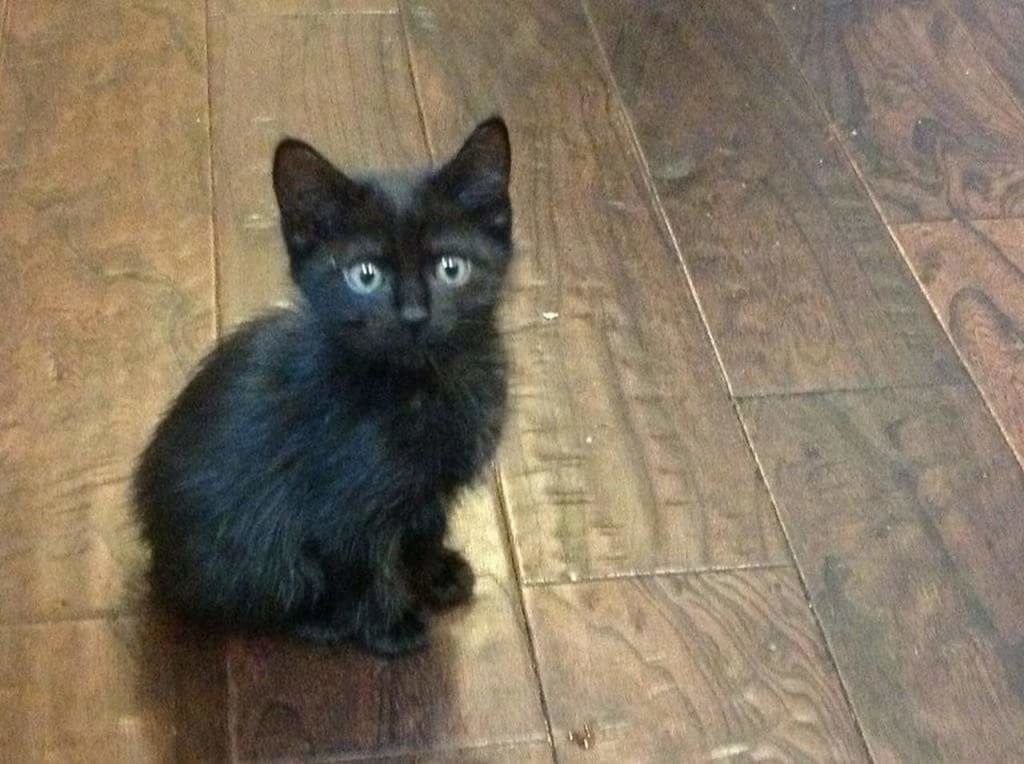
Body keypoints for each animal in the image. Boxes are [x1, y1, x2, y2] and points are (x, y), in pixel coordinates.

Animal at [136, 116, 516, 651]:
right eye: (365, 276)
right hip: (247, 552)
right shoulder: (341, 503)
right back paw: (321, 619)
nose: (414, 316)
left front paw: (434, 572)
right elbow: (362, 561)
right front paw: (389, 626)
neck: (423, 386)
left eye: (451, 268)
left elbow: (424, 524)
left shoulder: (425, 491)